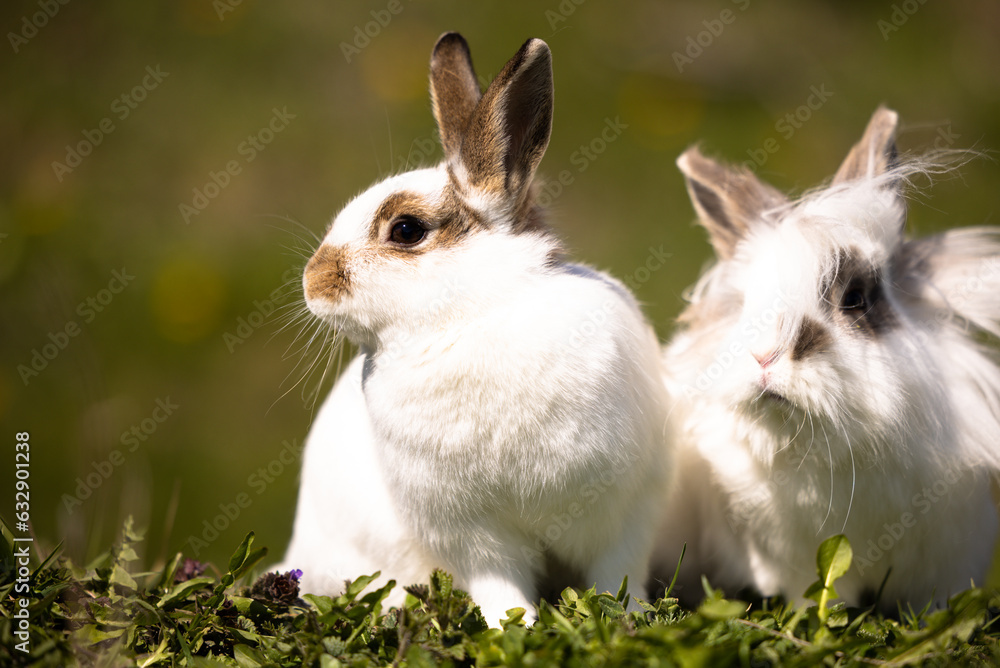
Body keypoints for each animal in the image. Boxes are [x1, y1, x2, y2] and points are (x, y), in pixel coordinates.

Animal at [276, 32, 670, 626]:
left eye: (406, 230)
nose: (313, 283)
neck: (469, 316)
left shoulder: (626, 510)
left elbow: (615, 574)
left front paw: (623, 619)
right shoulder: (471, 534)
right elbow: (498, 585)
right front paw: (517, 627)